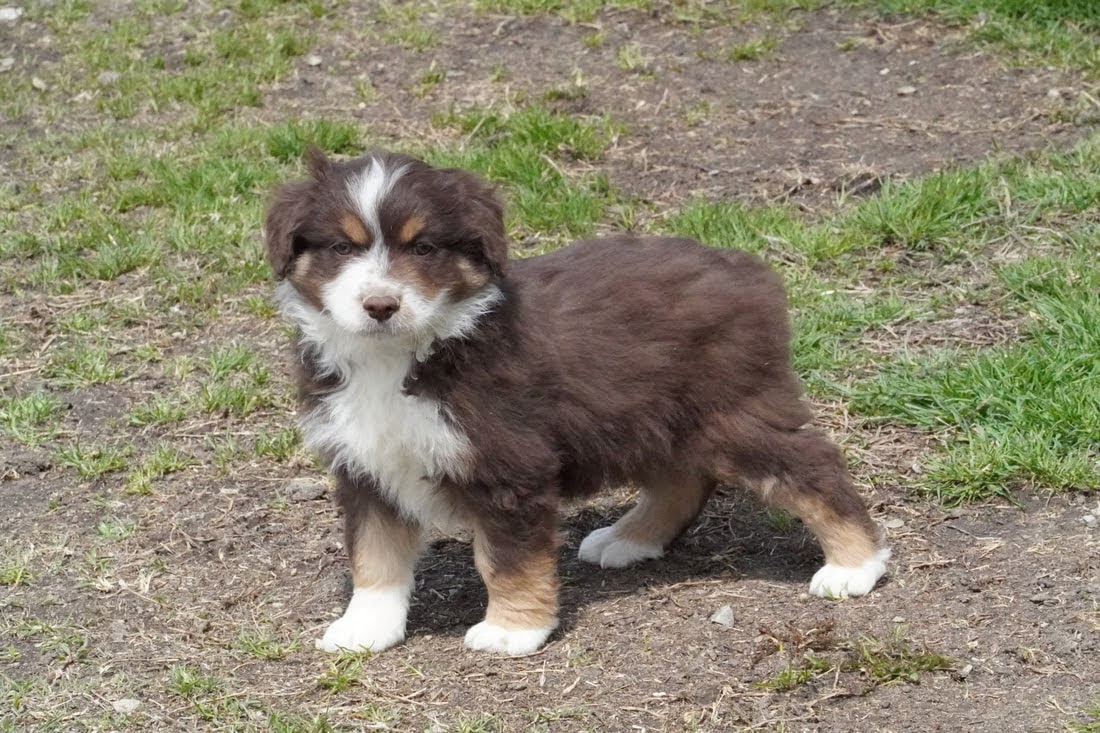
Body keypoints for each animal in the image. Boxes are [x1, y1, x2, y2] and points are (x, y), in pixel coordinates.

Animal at [261, 147, 888, 651]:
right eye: (341, 246)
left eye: (425, 248)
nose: (380, 305)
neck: (406, 354)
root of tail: (749, 269)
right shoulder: (364, 465)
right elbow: (375, 558)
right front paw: (364, 630)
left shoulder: (511, 466)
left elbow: (508, 559)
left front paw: (512, 630)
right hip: (651, 417)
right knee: (684, 479)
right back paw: (628, 539)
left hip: (735, 411)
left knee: (814, 468)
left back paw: (854, 566)